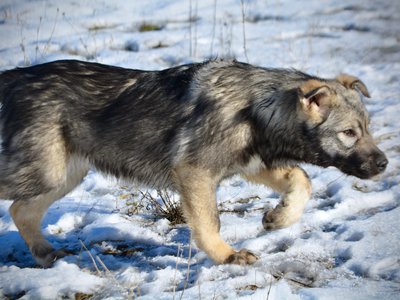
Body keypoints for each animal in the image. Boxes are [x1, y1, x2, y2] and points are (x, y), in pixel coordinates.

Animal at [0, 59, 388, 266]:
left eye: (368, 128)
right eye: (349, 133)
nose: (385, 164)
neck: (259, 108)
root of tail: (17, 76)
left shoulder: (253, 163)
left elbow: (301, 179)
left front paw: (278, 218)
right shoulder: (195, 172)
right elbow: (209, 223)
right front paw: (227, 256)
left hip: (63, 175)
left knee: (22, 211)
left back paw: (46, 254)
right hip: (45, 171)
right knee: (19, 205)